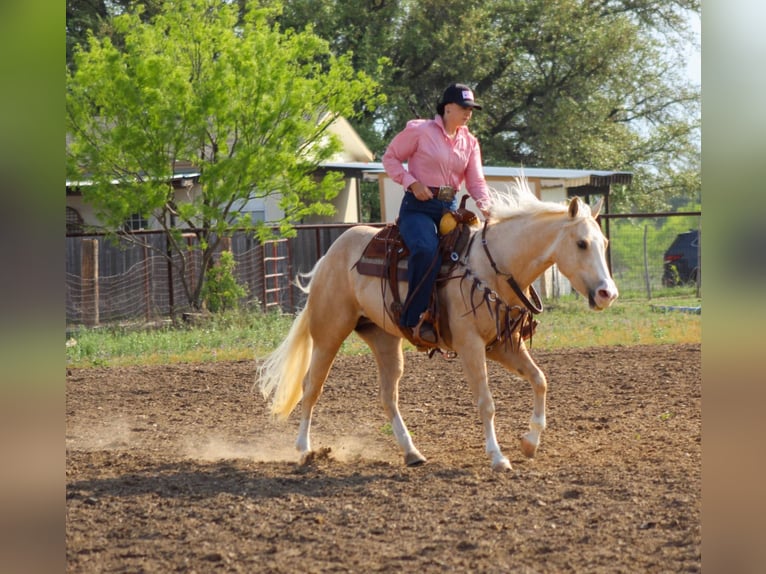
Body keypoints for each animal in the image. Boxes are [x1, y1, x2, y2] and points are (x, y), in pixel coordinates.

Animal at [257, 179, 618, 471]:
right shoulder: (470, 346)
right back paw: (304, 450)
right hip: (329, 333)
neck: (491, 267)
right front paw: (498, 457)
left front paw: (530, 442)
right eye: (581, 243)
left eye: (604, 243)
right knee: (311, 387)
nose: (607, 294)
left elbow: (540, 380)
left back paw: (411, 452)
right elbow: (486, 402)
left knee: (388, 396)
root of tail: (330, 255)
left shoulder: (502, 345)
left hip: (384, 340)